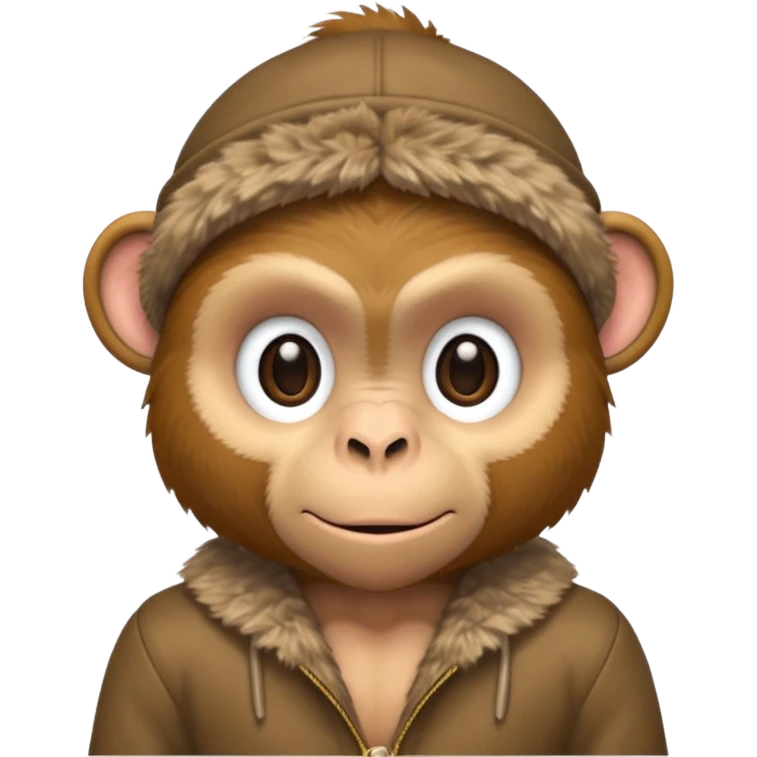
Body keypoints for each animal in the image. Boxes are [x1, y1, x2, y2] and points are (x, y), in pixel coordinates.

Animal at [82, 4, 674, 755]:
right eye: (287, 367)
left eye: (468, 367)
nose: (377, 442)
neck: (377, 615)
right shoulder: (143, 649)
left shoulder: (612, 649)